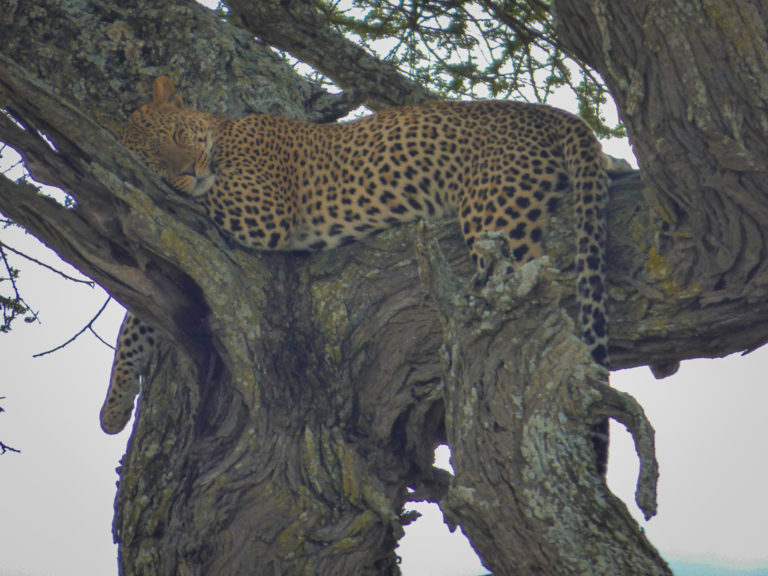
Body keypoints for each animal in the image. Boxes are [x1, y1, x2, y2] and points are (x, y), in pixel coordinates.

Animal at [99, 75, 608, 468]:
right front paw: (114, 405)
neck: (224, 133)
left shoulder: (258, 208)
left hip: (497, 221)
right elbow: (135, 321)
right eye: (155, 160)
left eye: (177, 135)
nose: (186, 170)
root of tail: (549, 113)